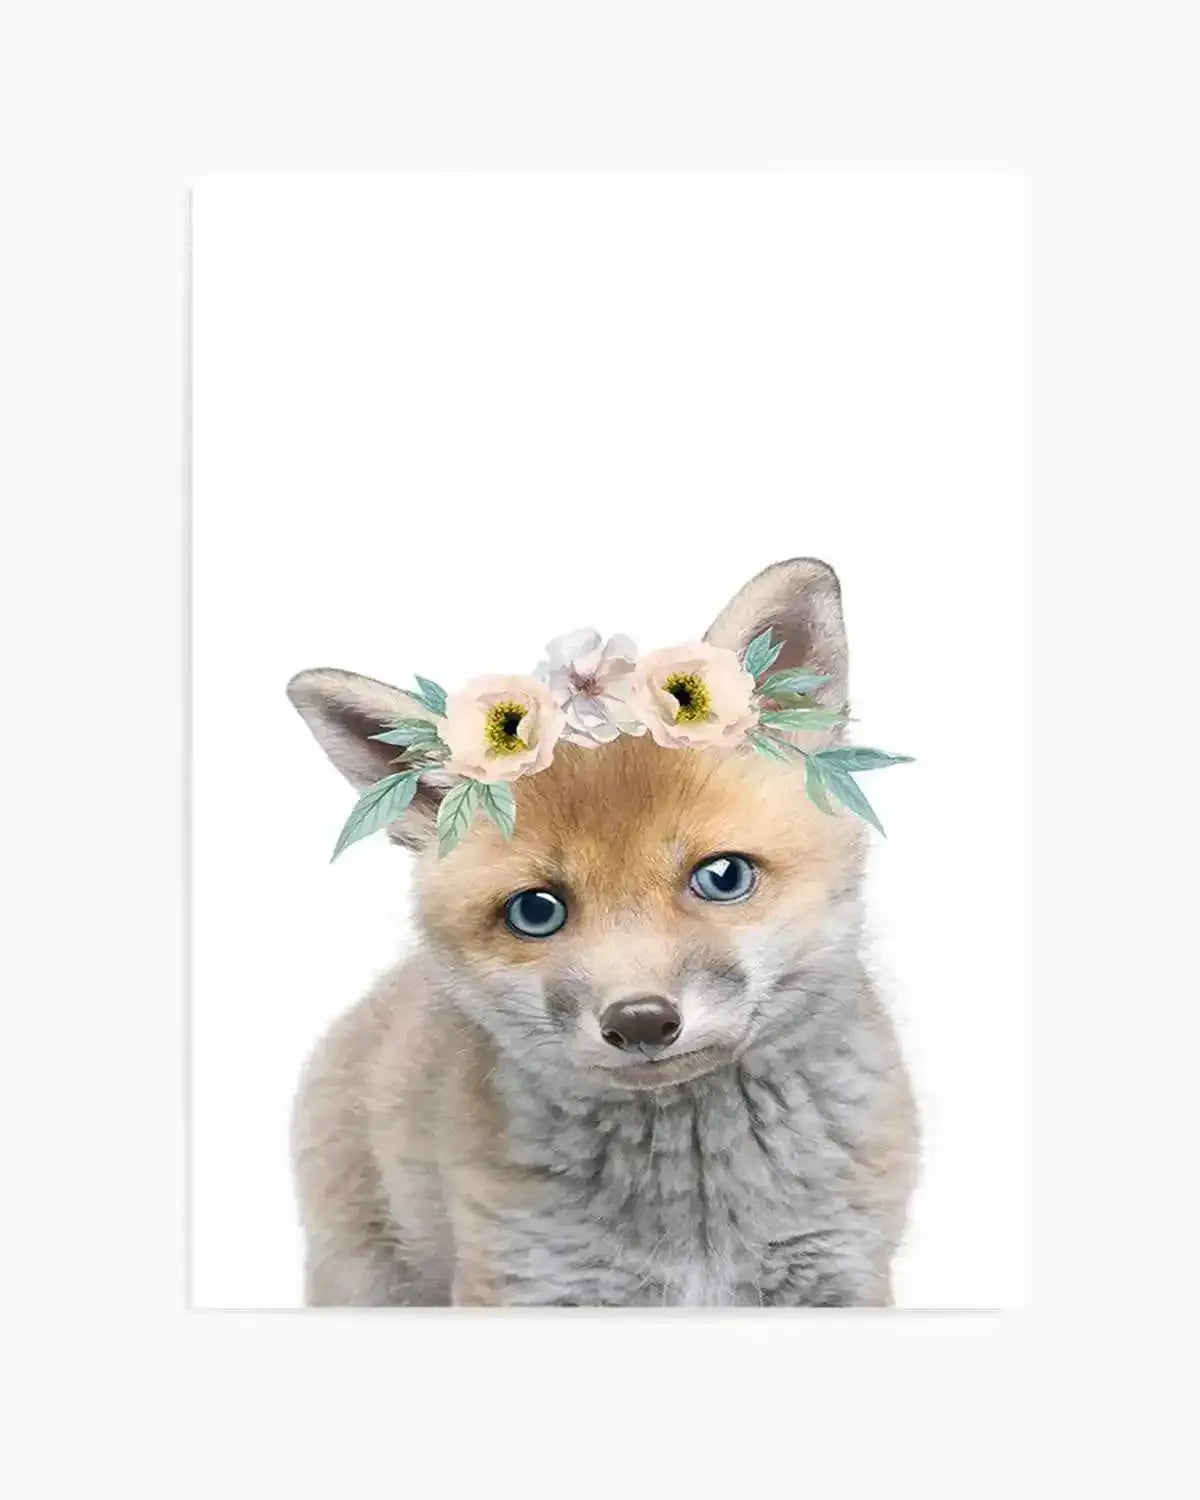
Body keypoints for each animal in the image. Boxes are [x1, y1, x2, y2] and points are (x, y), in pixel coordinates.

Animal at [285, 557, 919, 1306]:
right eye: (536, 912)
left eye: (723, 876)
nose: (641, 1021)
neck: (697, 1219)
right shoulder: (528, 1280)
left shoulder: (840, 1274)